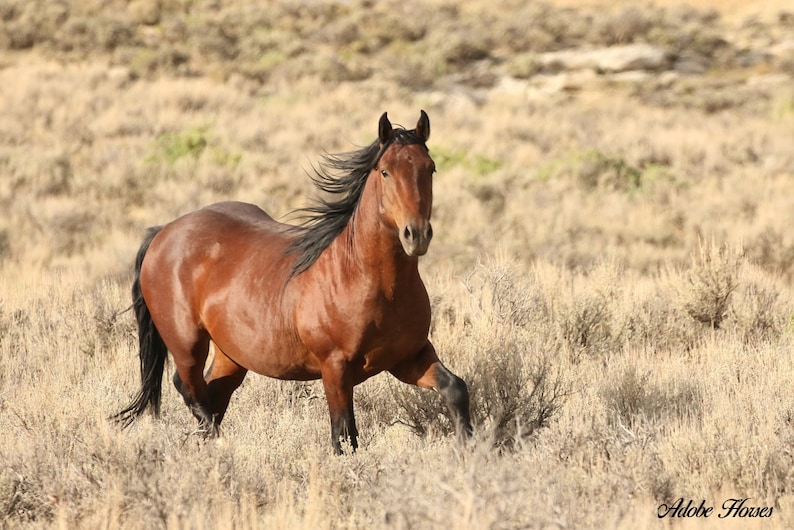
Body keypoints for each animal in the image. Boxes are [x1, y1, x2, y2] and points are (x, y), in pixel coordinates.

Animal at [114, 110, 472, 453]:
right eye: (385, 171)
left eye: (430, 168)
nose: (417, 234)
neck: (369, 281)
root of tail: (163, 232)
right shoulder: (336, 369)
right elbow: (344, 436)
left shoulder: (409, 358)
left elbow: (456, 389)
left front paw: (467, 450)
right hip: (187, 345)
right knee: (190, 389)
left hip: (231, 357)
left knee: (212, 395)